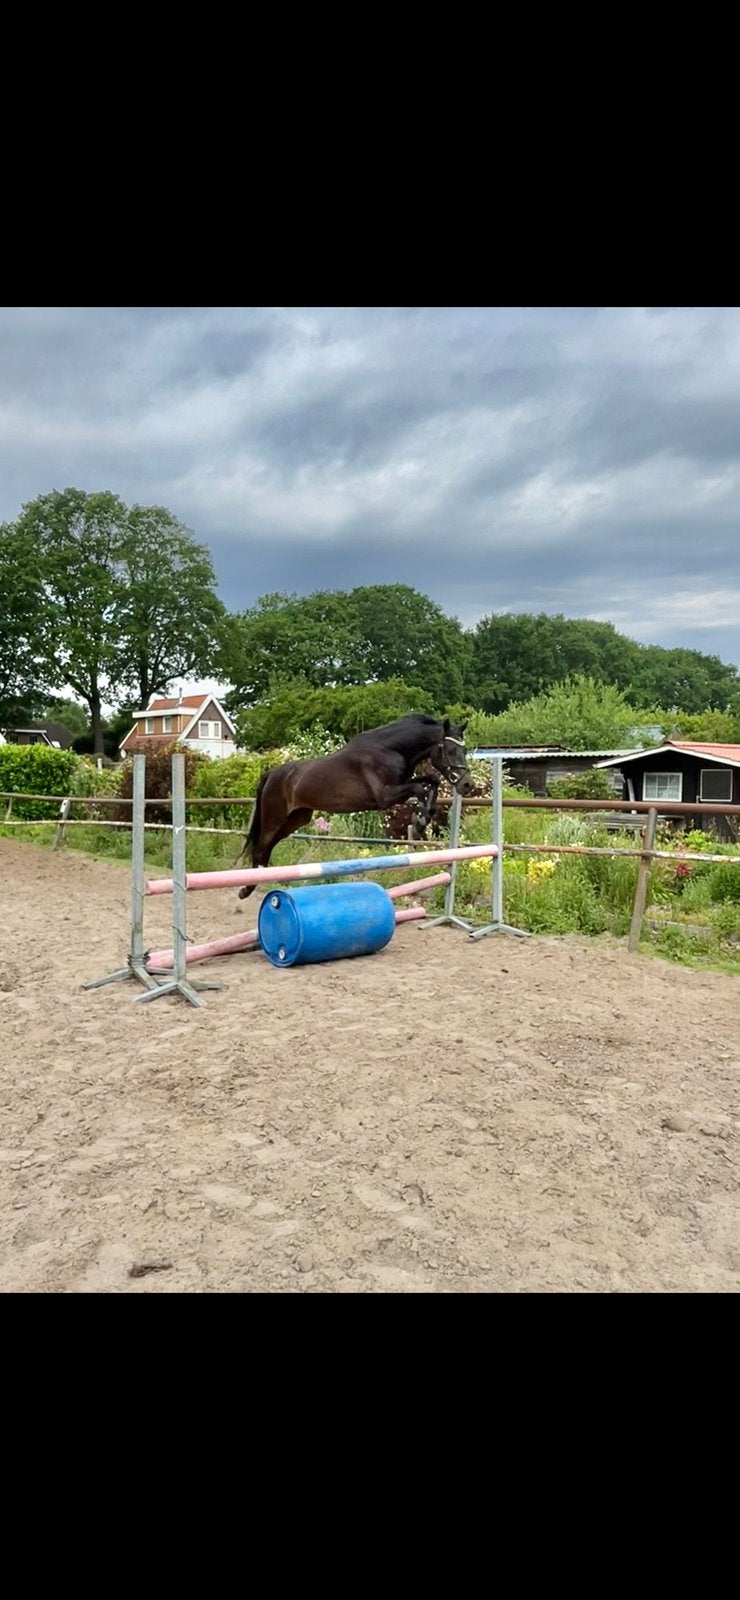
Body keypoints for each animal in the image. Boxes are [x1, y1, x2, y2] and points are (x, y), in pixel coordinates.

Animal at [236, 714, 473, 899]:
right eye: (450, 750)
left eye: (465, 750)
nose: (467, 785)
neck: (390, 749)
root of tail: (271, 773)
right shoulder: (385, 796)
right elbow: (420, 788)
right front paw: (421, 820)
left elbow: (431, 782)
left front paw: (425, 816)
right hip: (275, 818)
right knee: (261, 846)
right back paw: (246, 889)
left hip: (297, 818)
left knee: (268, 846)